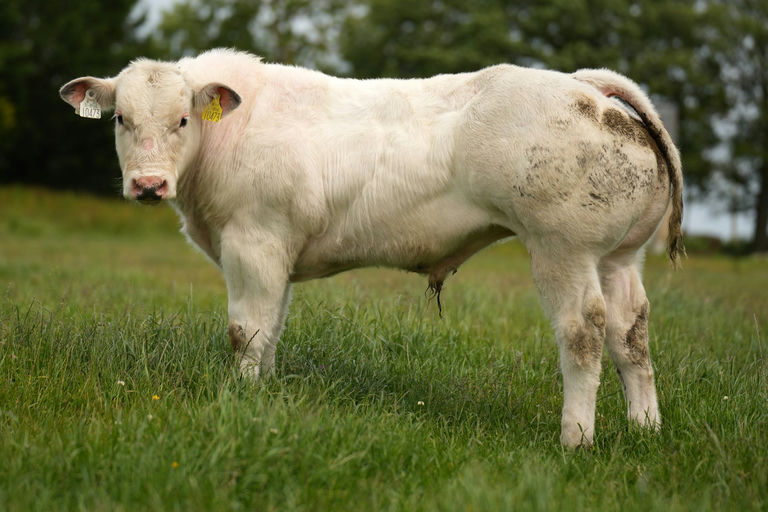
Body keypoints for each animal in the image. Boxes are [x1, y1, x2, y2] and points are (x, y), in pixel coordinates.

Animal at [59, 49, 683, 447]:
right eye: (121, 118)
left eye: (184, 119)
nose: (148, 185)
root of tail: (585, 84)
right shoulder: (277, 253)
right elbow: (270, 331)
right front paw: (261, 396)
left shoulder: (254, 240)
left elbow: (245, 331)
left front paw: (238, 397)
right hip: (618, 258)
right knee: (631, 334)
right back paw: (645, 429)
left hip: (562, 249)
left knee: (583, 333)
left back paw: (575, 439)